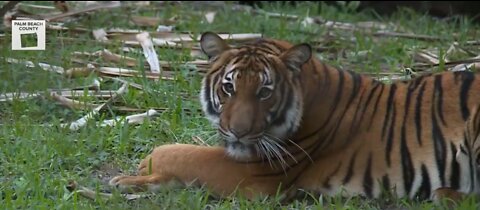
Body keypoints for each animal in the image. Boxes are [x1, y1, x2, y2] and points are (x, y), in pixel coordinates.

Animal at [108, 31, 480, 203]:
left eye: (264, 92)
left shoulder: (257, 173)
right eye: (229, 87)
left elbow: (180, 153)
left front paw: (141, 166)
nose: (237, 133)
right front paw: (131, 180)